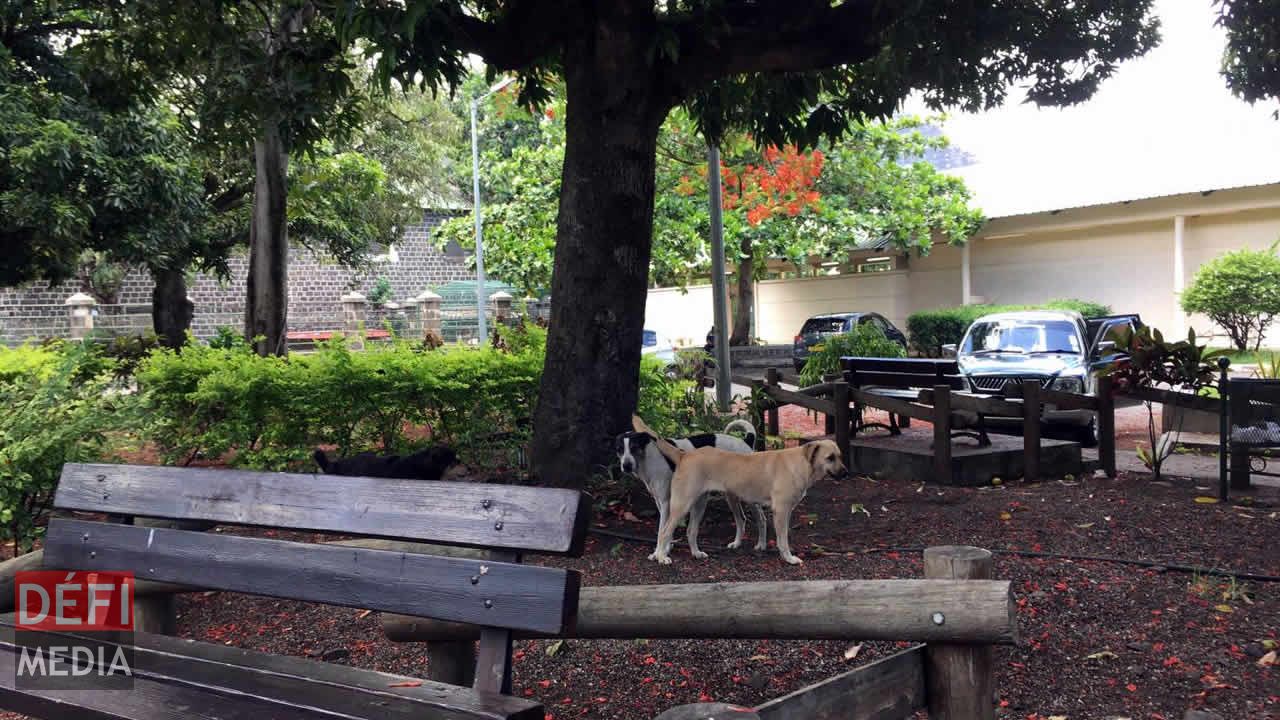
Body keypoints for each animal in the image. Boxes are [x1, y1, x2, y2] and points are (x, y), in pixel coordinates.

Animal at [614, 417, 762, 558]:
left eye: (634, 447)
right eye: (619, 449)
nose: (626, 466)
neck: (651, 457)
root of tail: (746, 441)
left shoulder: (666, 502)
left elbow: (662, 530)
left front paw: (659, 553)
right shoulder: (661, 502)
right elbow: (667, 529)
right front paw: (666, 549)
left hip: (749, 496)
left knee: (761, 518)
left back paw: (761, 545)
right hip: (730, 496)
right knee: (741, 519)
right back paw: (736, 543)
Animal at [632, 415, 849, 561]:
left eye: (840, 456)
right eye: (830, 458)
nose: (846, 474)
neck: (800, 463)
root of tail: (684, 455)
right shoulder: (781, 510)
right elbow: (783, 539)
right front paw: (789, 558)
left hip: (701, 504)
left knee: (691, 531)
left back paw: (696, 553)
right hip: (681, 505)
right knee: (664, 532)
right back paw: (661, 557)